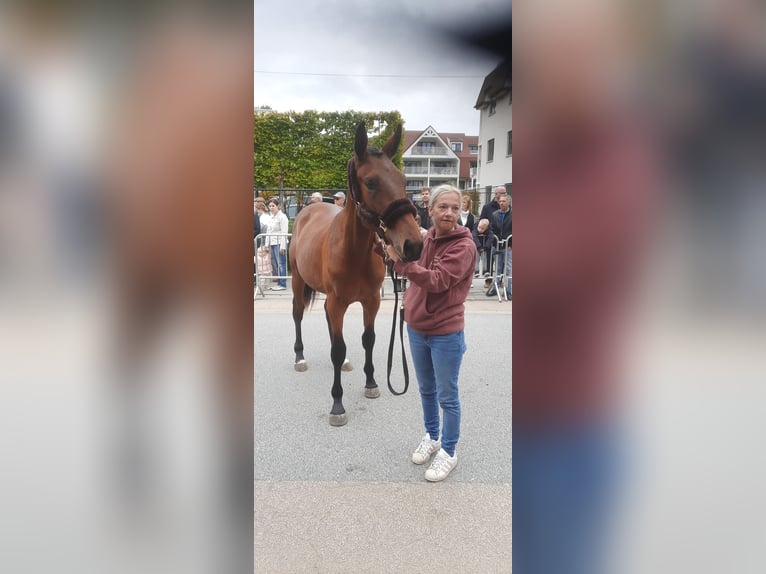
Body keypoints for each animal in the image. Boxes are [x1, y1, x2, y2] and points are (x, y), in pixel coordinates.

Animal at [290, 122, 424, 428]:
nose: (413, 245)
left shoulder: (370, 301)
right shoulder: (338, 302)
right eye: (371, 182)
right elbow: (338, 348)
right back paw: (300, 357)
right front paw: (337, 404)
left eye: (403, 179)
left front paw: (371, 382)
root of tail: (310, 207)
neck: (354, 252)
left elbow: (368, 339)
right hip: (297, 281)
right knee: (298, 313)